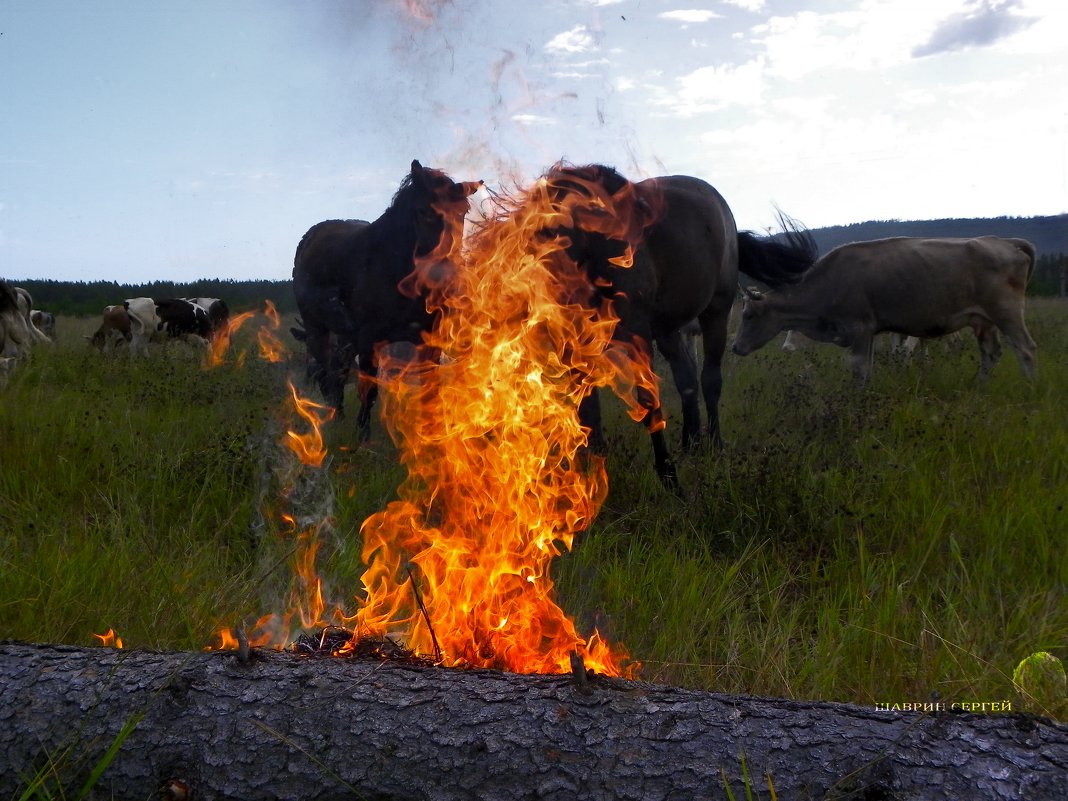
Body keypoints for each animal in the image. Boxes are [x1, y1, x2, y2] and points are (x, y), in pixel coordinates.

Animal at [290, 160, 478, 440]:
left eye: (463, 211)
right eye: (423, 211)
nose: (447, 273)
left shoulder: (430, 341)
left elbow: (430, 391)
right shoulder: (370, 339)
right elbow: (369, 392)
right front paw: (362, 438)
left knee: (338, 371)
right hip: (317, 328)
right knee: (326, 373)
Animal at [542, 161, 815, 489]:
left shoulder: (636, 332)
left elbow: (649, 403)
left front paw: (668, 475)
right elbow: (588, 413)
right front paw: (589, 476)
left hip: (715, 313)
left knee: (710, 380)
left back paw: (713, 444)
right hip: (668, 330)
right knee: (686, 380)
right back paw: (691, 443)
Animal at [730, 237, 1038, 384]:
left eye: (748, 315)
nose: (734, 347)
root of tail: (1006, 242)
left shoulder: (860, 330)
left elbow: (860, 370)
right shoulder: (870, 335)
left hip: (1007, 314)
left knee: (1025, 349)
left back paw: (1031, 388)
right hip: (983, 322)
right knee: (991, 354)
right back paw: (979, 387)